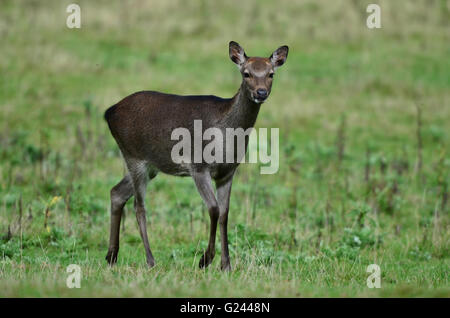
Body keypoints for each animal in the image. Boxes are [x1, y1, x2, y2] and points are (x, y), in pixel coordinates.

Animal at [103, 41, 288, 270]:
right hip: (134, 156)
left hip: (150, 166)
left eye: (271, 74)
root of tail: (109, 112)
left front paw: (226, 265)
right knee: (139, 207)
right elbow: (213, 209)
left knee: (116, 193)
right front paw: (205, 259)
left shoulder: (228, 172)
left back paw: (111, 256)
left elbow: (225, 214)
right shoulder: (198, 167)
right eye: (246, 73)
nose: (261, 92)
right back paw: (150, 260)